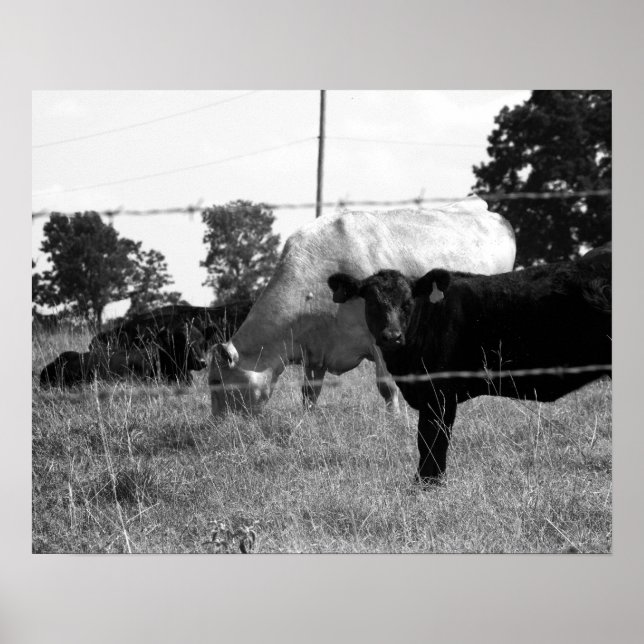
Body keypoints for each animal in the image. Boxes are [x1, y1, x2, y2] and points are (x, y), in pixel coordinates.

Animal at [209, 196, 516, 416]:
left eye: (216, 382)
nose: (218, 424)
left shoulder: (382, 338)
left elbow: (387, 386)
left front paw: (394, 420)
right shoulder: (315, 348)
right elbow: (309, 392)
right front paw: (307, 419)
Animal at [328, 250, 612, 485]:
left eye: (408, 303)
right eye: (372, 303)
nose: (391, 336)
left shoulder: (439, 393)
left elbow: (432, 439)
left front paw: (427, 484)